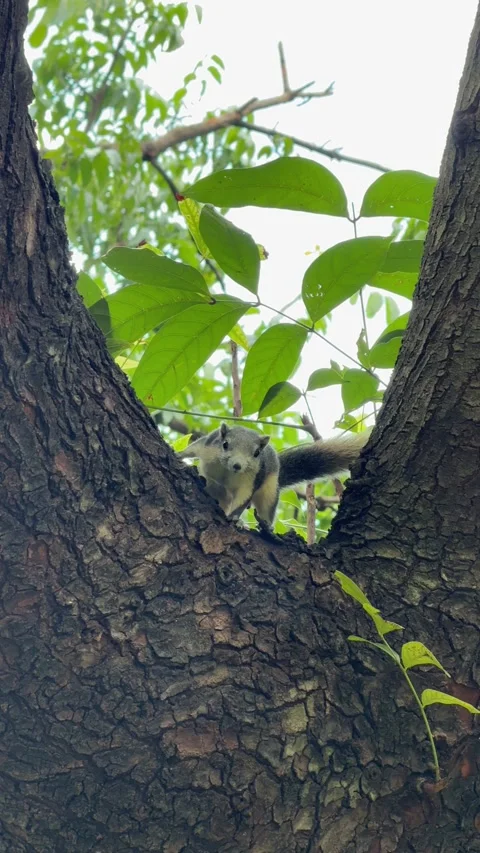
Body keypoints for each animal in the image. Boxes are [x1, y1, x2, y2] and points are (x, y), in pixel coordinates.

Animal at [178, 423, 368, 528]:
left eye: (256, 453)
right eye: (224, 444)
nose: (237, 465)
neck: (227, 470)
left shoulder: (252, 479)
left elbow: (243, 498)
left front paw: (234, 519)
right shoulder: (208, 446)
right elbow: (193, 448)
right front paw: (179, 455)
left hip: (269, 491)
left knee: (265, 508)